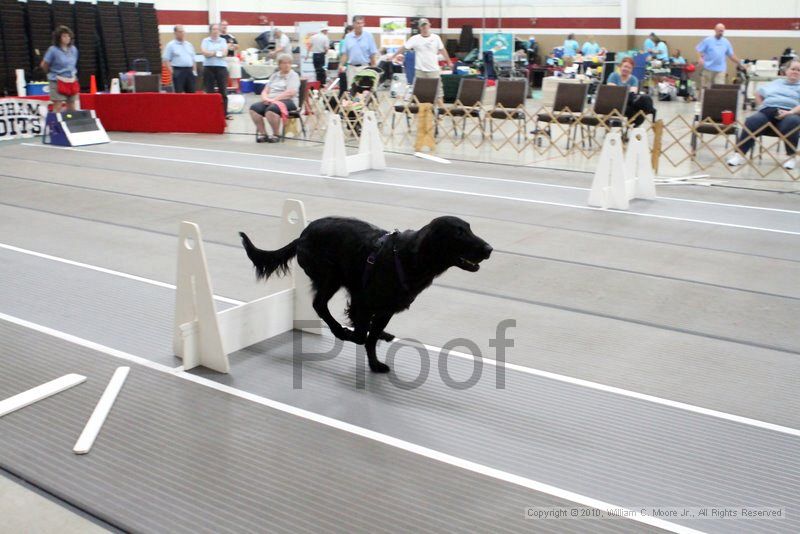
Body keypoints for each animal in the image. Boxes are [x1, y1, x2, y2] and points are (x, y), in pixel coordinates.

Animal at [238, 216, 490, 374]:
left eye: (470, 228)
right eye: (459, 233)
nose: (489, 249)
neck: (410, 258)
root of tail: (302, 235)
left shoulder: (386, 310)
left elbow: (370, 336)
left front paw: (375, 362)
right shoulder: (362, 301)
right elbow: (361, 336)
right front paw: (353, 337)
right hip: (330, 277)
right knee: (319, 305)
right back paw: (339, 330)